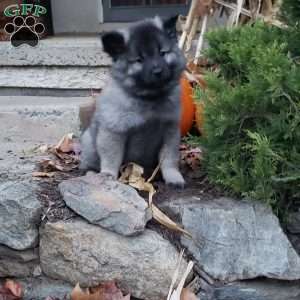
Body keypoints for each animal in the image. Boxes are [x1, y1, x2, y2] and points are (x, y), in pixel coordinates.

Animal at [81, 15, 186, 188]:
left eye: (162, 53)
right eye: (139, 60)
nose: (158, 71)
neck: (149, 97)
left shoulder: (170, 131)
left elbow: (169, 158)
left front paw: (173, 176)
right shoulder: (114, 132)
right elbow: (111, 158)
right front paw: (108, 175)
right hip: (89, 143)